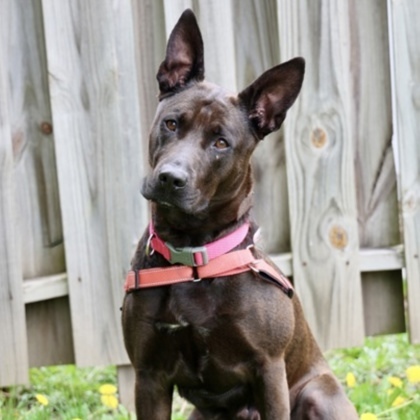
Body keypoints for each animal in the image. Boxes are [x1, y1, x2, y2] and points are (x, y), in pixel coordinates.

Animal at [121, 9, 358, 420]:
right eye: (171, 123)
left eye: (221, 142)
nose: (170, 178)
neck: (194, 257)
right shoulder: (149, 376)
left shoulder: (268, 370)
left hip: (318, 394)